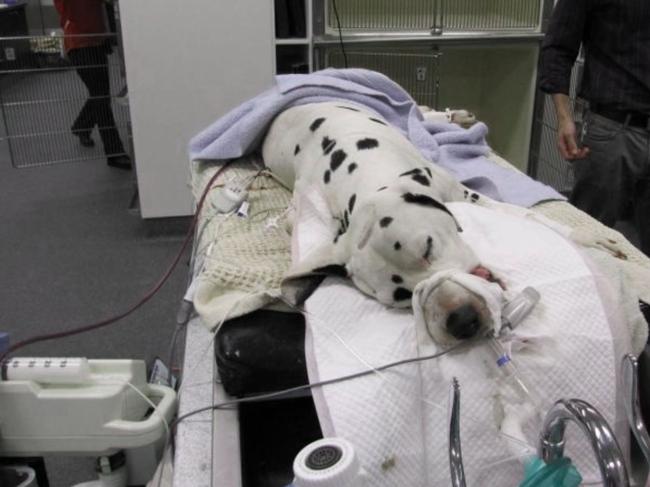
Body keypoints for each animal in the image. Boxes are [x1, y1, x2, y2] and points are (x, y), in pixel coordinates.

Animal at [260, 101, 498, 344]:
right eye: (404, 295)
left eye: (428, 248)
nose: (462, 321)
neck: (361, 170)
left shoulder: (456, 190)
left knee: (421, 114)